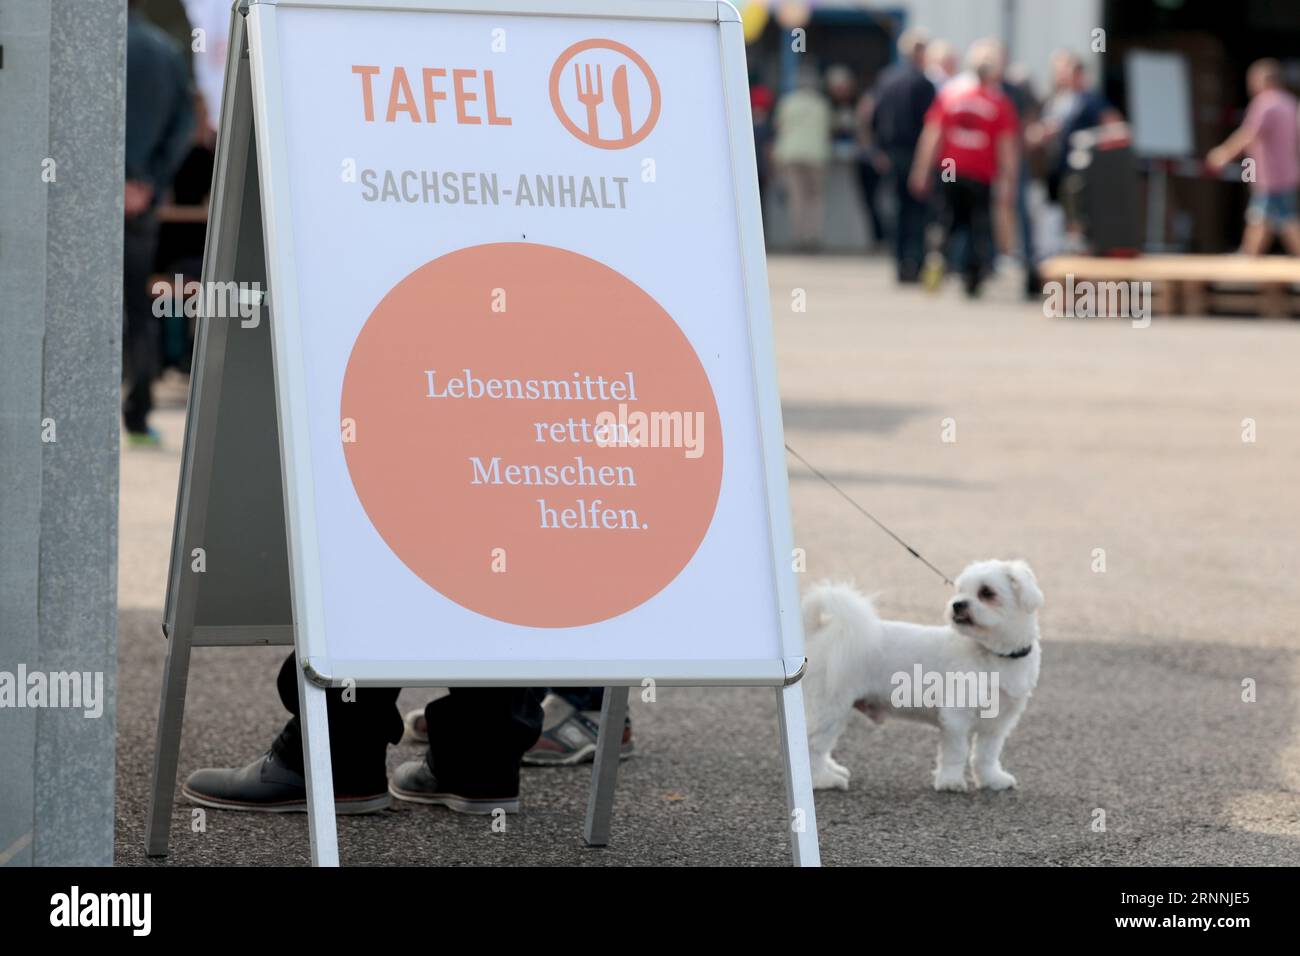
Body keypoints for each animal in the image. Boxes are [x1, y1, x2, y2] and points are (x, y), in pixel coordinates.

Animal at [800, 561, 1045, 790]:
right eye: (960, 590)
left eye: (986, 592)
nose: (957, 604)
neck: (994, 653)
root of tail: (822, 633)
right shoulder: (956, 716)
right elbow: (957, 752)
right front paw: (950, 781)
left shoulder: (998, 722)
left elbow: (987, 755)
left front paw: (992, 780)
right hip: (830, 707)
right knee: (813, 746)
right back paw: (823, 779)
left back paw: (831, 770)